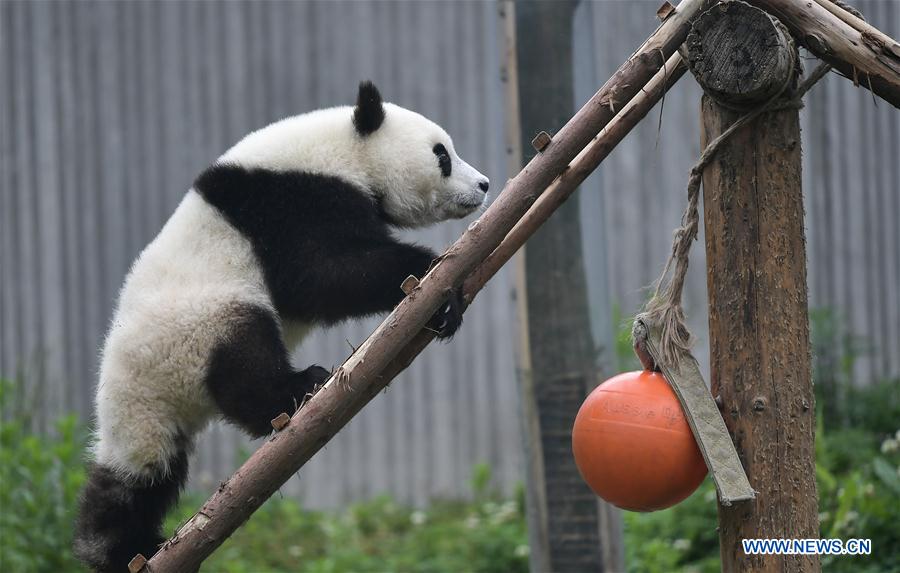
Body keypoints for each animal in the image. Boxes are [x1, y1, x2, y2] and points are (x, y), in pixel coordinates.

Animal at [74, 81, 488, 572]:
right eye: (442, 154)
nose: (483, 185)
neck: (341, 151)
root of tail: (137, 389)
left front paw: (445, 306)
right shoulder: (291, 203)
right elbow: (317, 277)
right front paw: (429, 273)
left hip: (150, 416)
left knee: (140, 480)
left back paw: (125, 549)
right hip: (202, 322)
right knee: (246, 364)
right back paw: (300, 387)